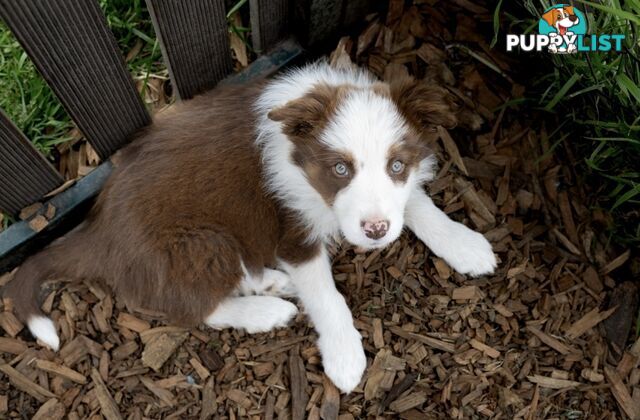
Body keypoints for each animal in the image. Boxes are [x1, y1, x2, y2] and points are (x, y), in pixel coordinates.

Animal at [2, 62, 498, 394]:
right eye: (339, 169)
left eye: (396, 165)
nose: (375, 231)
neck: (298, 157)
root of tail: (97, 231)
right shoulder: (292, 231)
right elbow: (327, 297)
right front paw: (345, 355)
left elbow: (415, 202)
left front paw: (465, 245)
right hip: (202, 243)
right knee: (190, 306)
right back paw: (266, 311)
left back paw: (270, 283)